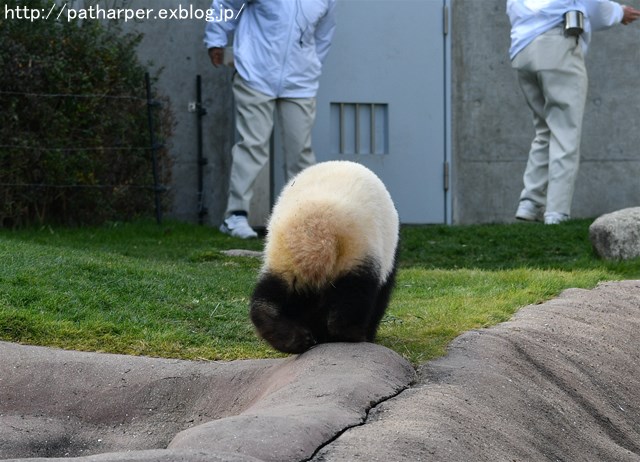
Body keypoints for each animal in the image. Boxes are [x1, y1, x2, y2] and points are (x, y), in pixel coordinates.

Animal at [248, 160, 398, 354]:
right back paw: (350, 335)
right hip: (357, 250)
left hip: (282, 261)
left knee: (267, 298)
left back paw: (292, 338)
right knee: (353, 294)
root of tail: (316, 233)